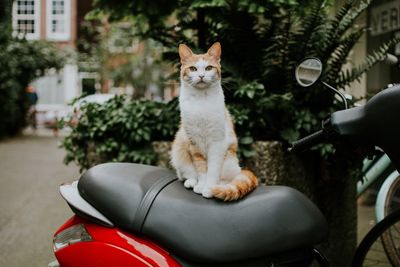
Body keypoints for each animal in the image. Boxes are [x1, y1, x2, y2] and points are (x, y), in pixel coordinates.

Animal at [170, 42, 258, 201]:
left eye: (208, 68)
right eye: (193, 69)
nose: (201, 76)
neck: (201, 101)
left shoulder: (217, 143)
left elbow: (212, 170)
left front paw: (209, 188)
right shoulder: (194, 142)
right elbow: (201, 169)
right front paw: (201, 185)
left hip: (229, 161)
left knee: (229, 179)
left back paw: (220, 186)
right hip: (179, 149)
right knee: (185, 174)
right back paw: (192, 182)